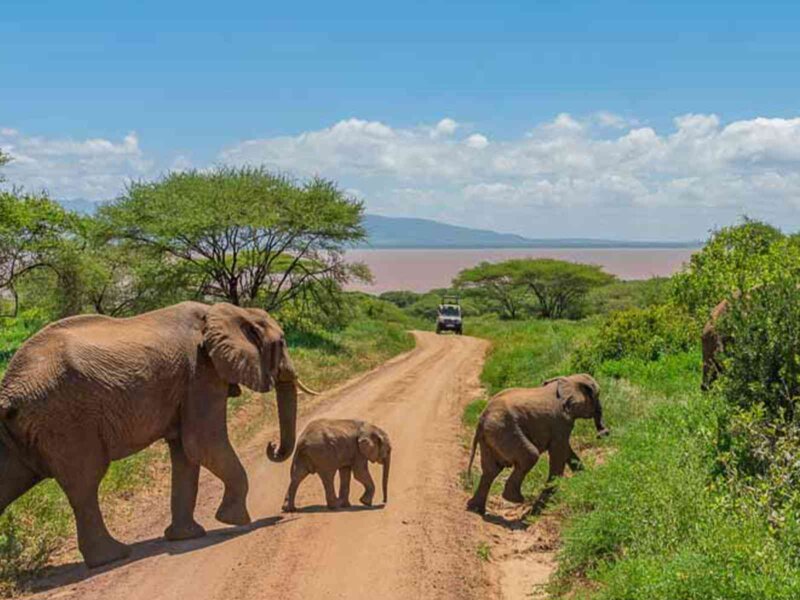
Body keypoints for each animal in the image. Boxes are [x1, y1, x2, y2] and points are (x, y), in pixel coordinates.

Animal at [0, 301, 318, 568]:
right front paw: (236, 521)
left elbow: (186, 453)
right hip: (65, 420)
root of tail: (9, 389)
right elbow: (203, 443)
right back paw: (113, 557)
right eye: (281, 343)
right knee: (85, 484)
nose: (272, 446)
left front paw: (187, 536)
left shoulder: (191, 380)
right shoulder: (200, 372)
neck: (228, 311)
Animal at [466, 373, 608, 515]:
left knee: (491, 470)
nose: (603, 433)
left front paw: (586, 478)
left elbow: (566, 450)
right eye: (597, 395)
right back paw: (516, 499)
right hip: (504, 431)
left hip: (491, 437)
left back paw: (475, 509)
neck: (569, 379)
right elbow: (559, 453)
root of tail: (481, 420)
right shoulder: (561, 421)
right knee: (530, 456)